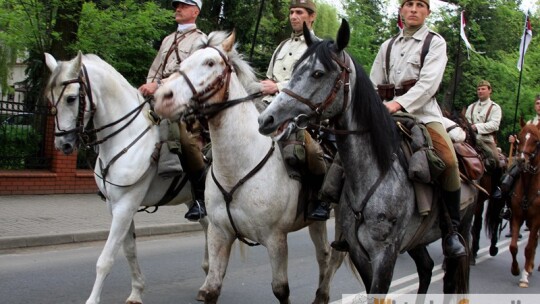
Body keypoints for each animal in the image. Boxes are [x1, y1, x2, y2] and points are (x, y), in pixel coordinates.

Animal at [44, 52, 209, 304]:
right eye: (50, 98)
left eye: (71, 98)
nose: (63, 144)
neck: (126, 137)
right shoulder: (117, 206)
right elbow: (129, 250)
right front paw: (136, 292)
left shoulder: (126, 204)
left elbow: (105, 259)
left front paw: (93, 300)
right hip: (195, 198)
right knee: (210, 228)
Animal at [153, 31, 346, 304]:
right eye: (185, 61)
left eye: (210, 63)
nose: (162, 97)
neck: (239, 166)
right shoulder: (219, 233)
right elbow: (211, 288)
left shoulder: (276, 240)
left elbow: (281, 289)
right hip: (315, 222)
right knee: (324, 255)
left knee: (336, 256)